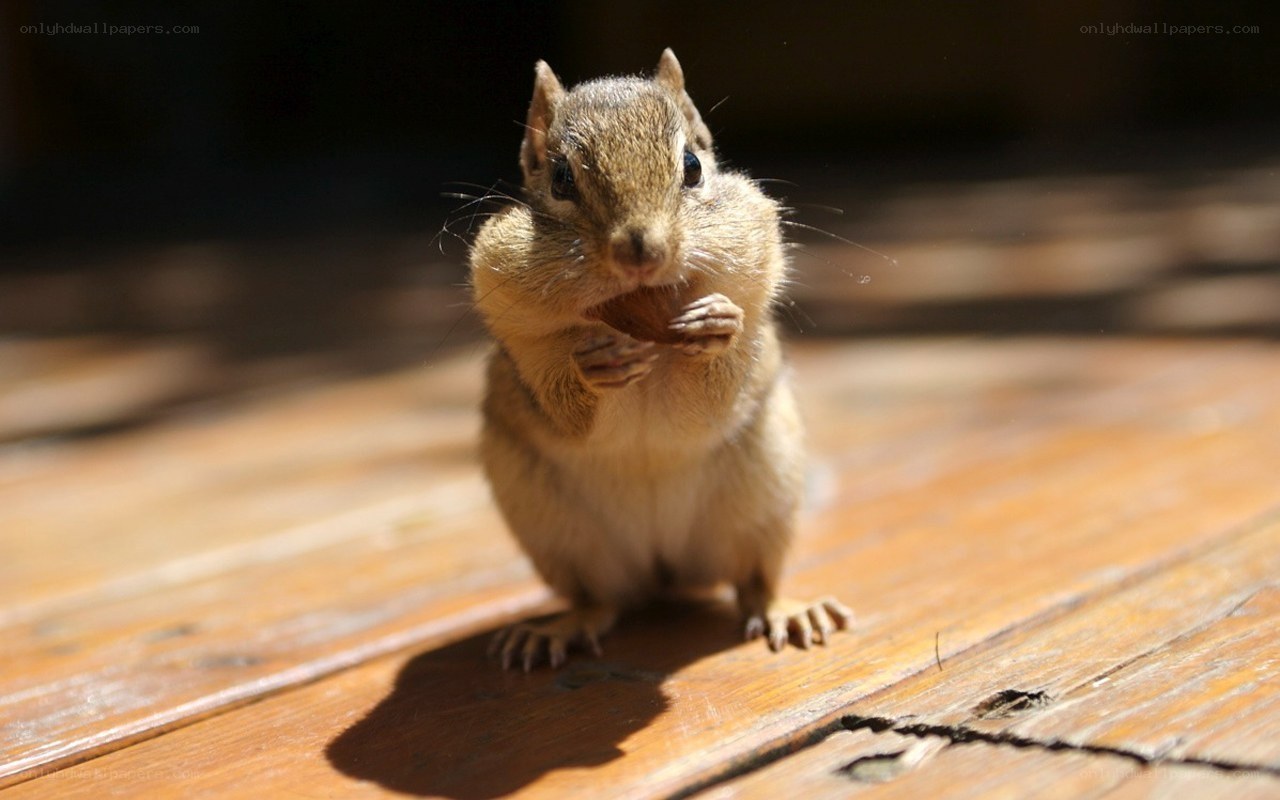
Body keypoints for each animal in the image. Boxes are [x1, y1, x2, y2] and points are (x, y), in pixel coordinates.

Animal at [469, 49, 851, 670]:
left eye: (693, 165)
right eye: (560, 178)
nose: (641, 251)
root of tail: (664, 570)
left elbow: (708, 404)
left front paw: (718, 324)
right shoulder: (517, 336)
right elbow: (564, 408)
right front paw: (590, 369)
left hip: (762, 500)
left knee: (753, 582)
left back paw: (787, 609)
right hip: (562, 535)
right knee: (601, 601)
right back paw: (558, 628)